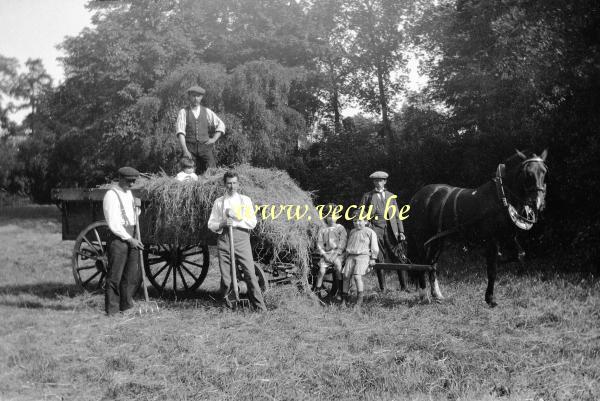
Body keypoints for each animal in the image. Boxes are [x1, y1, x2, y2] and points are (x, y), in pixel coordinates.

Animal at [404, 148, 548, 304]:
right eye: (528, 173)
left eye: (544, 171)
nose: (538, 203)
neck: (502, 196)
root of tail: (417, 196)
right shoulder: (492, 240)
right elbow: (492, 269)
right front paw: (490, 298)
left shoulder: (508, 237)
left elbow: (520, 255)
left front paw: (503, 261)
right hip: (420, 238)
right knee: (420, 263)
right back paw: (424, 295)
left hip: (438, 240)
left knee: (431, 264)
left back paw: (437, 294)